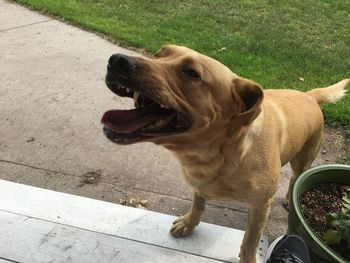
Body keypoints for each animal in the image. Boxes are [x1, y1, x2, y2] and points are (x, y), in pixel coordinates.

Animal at [101, 45, 348, 263]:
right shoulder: (199, 184)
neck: (218, 154)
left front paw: (247, 257)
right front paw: (189, 222)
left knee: (295, 178)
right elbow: (198, 204)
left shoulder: (261, 206)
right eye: (158, 54)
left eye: (191, 73)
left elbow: (250, 241)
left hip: (302, 160)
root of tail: (309, 95)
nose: (116, 60)